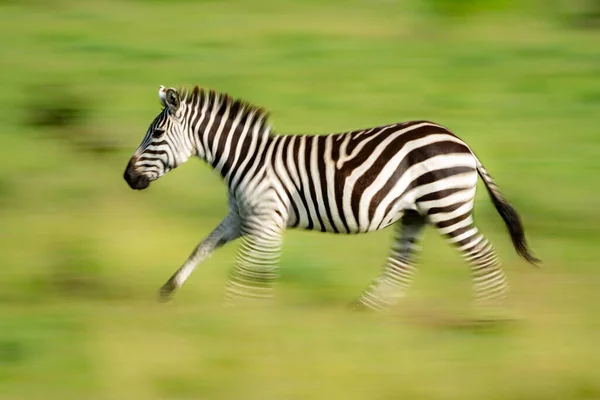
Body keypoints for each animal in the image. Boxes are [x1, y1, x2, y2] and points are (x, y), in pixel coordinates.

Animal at [122, 85, 540, 312]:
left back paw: (490, 313)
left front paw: (244, 311)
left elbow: (253, 270)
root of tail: (463, 143)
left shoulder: (267, 220)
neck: (247, 159)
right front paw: (168, 291)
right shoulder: (243, 217)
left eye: (156, 134)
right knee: (402, 262)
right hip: (415, 214)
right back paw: (365, 309)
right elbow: (203, 248)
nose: (127, 177)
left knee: (481, 254)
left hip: (445, 207)